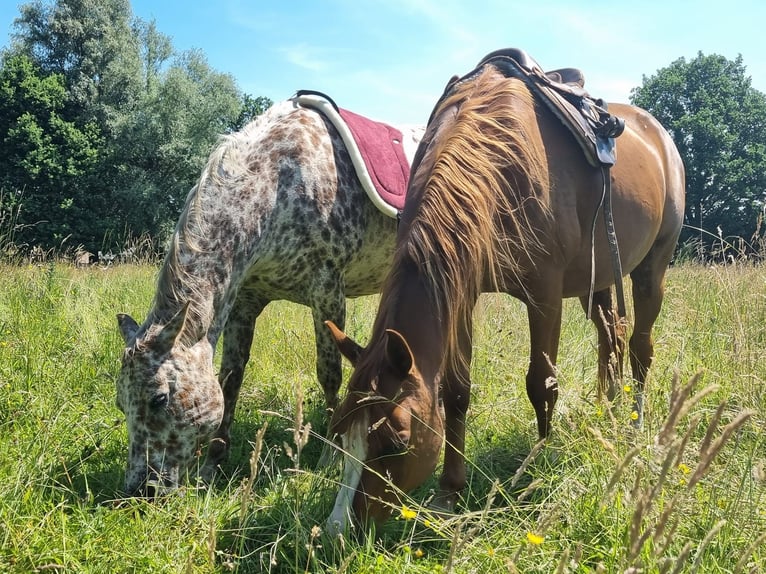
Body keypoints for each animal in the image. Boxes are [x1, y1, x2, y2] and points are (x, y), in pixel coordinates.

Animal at [115, 97, 424, 495]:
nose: (140, 489)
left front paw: (330, 456)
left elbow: (329, 374)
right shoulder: (244, 301)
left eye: (159, 399)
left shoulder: (328, 291)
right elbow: (230, 378)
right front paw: (213, 465)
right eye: (121, 404)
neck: (280, 185)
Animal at [324, 62, 685, 530]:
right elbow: (456, 392)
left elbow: (542, 384)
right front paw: (449, 491)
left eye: (396, 440)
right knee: (613, 338)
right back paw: (606, 410)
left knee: (641, 347)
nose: (338, 528)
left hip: (650, 268)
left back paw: (635, 424)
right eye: (339, 432)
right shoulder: (462, 294)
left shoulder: (545, 296)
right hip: (598, 279)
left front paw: (538, 465)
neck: (498, 164)